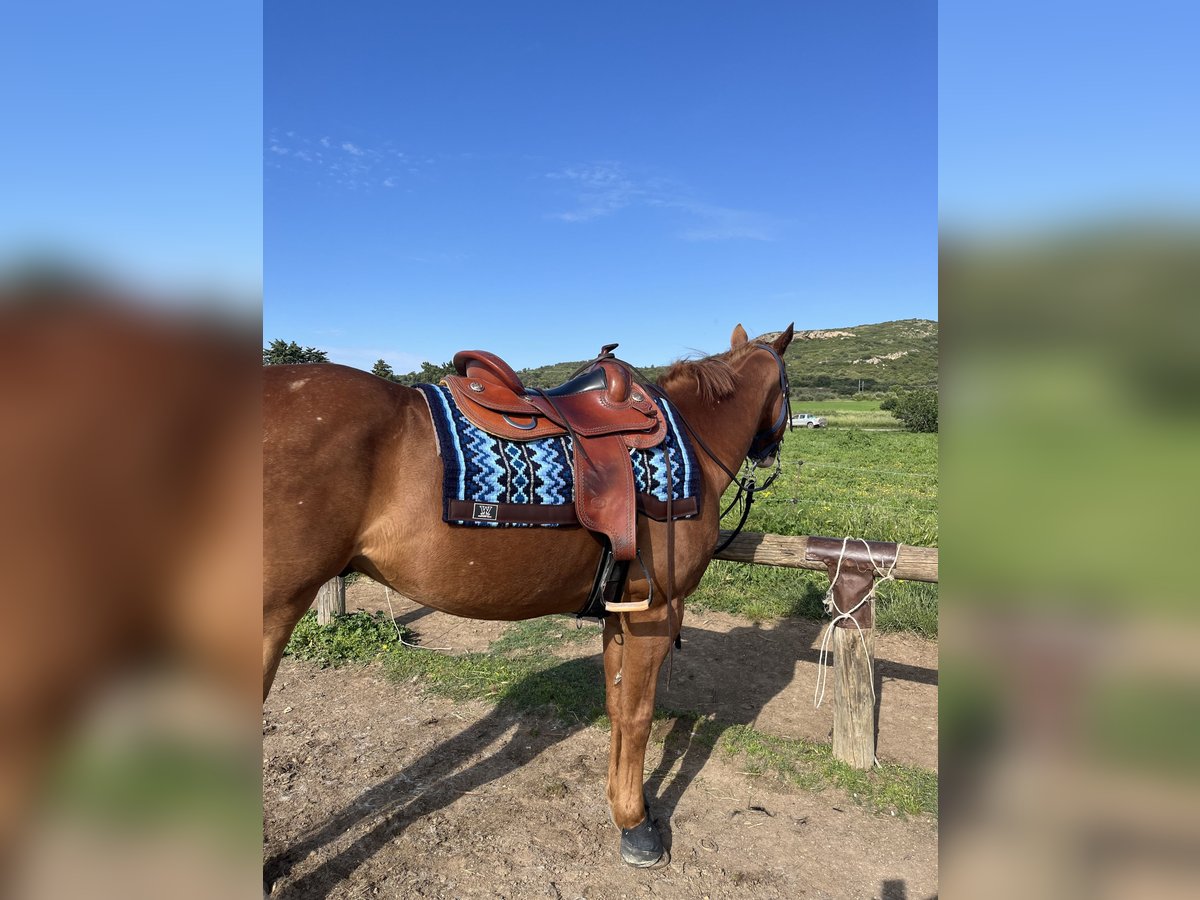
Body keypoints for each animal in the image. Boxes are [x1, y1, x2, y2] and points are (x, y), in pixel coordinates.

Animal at [260, 321, 796, 868]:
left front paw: (620, 807)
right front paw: (638, 825)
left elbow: (617, 708)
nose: (769, 454)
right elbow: (639, 716)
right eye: (786, 387)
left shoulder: (619, 611)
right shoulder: (657, 612)